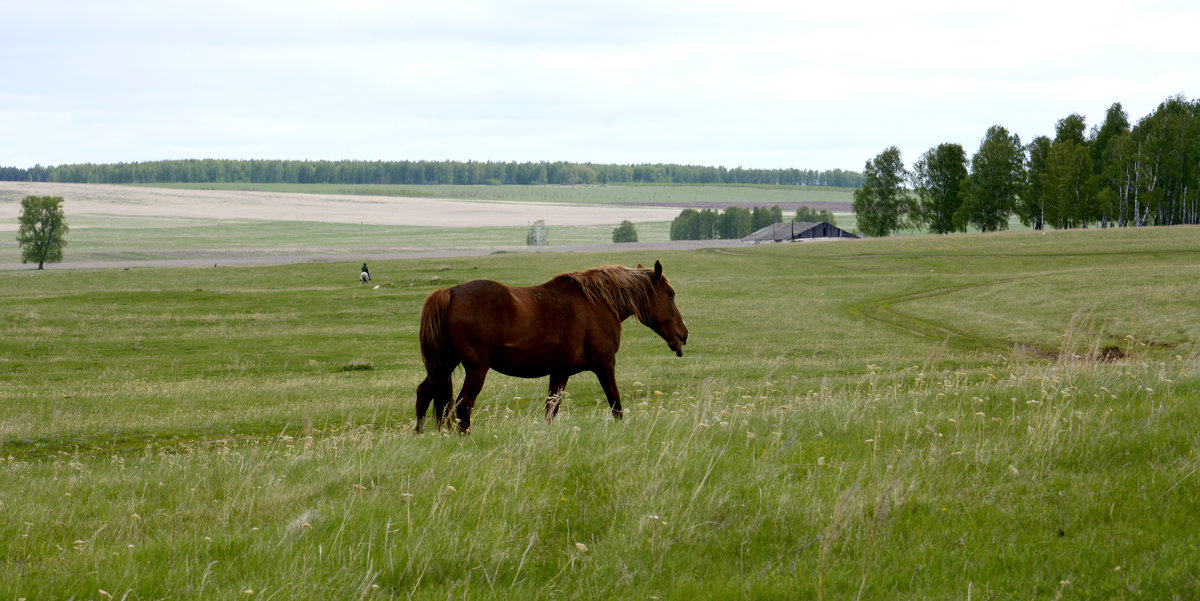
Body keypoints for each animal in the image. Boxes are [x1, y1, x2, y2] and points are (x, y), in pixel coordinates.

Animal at [417, 257, 691, 431]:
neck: (598, 303)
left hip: (443, 365)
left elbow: (551, 410)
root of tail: (450, 293)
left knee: (426, 395)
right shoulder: (605, 364)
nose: (683, 335)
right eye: (671, 294)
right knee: (463, 406)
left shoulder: (560, 372)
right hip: (475, 368)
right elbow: (615, 403)